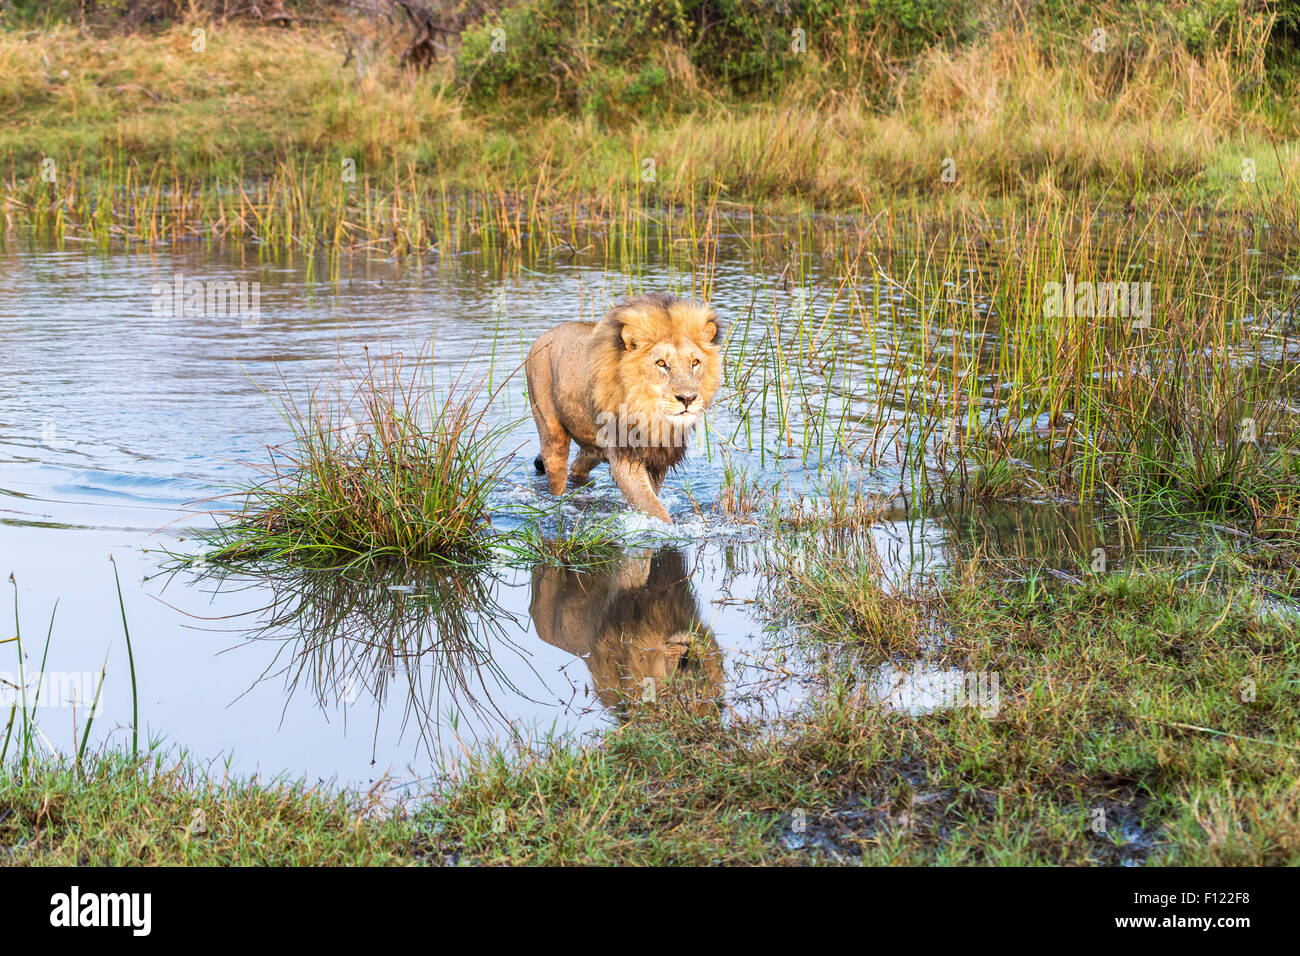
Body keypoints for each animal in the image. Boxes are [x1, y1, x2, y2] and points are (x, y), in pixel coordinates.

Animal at [522, 297, 728, 528]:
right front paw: (667, 528)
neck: (651, 414)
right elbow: (654, 508)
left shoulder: (657, 458)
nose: (688, 399)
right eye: (661, 363)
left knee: (578, 465)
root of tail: (545, 335)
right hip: (550, 428)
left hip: (592, 446)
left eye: (695, 363)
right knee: (557, 469)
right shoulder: (625, 457)